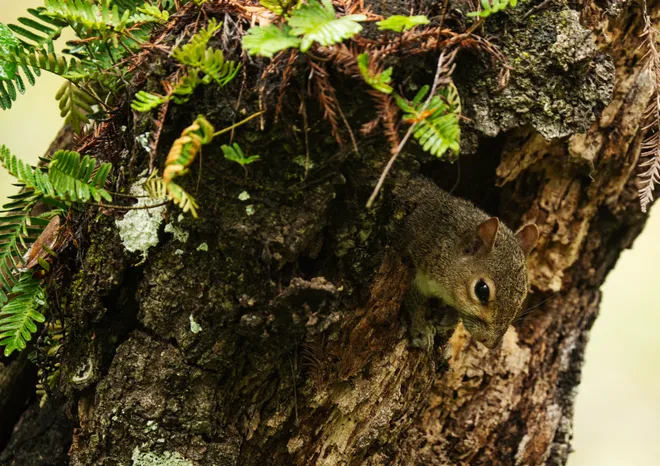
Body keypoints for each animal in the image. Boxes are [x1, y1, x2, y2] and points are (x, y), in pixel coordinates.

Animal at [393, 177, 539, 350]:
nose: (491, 343)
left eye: (521, 299)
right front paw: (421, 329)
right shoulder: (409, 257)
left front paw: (449, 317)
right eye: (482, 290)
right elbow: (413, 302)